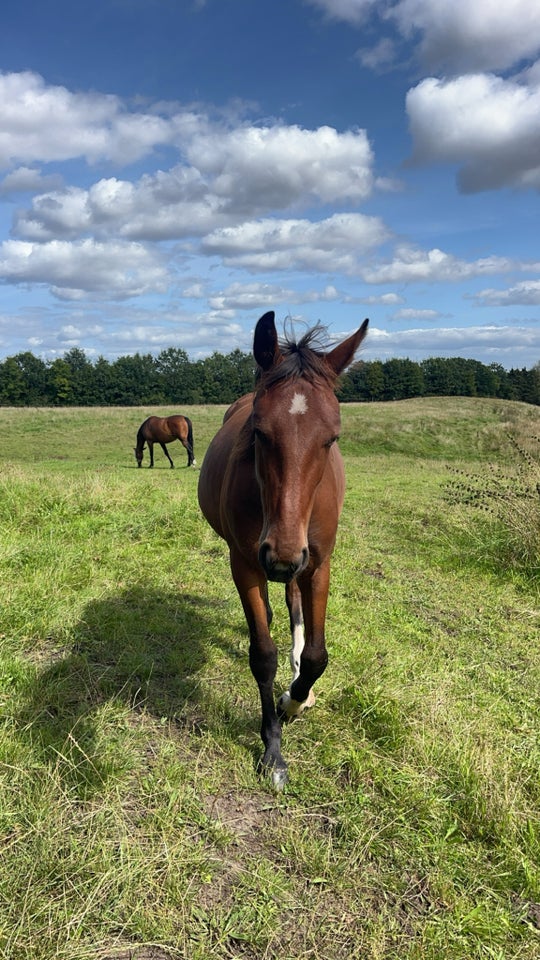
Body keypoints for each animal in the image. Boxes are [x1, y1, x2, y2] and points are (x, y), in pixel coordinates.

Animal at [198, 310, 368, 788]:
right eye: (259, 432)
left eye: (332, 438)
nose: (281, 554)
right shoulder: (245, 563)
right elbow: (262, 655)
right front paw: (273, 749)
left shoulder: (317, 564)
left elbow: (315, 655)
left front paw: (294, 699)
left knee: (293, 605)